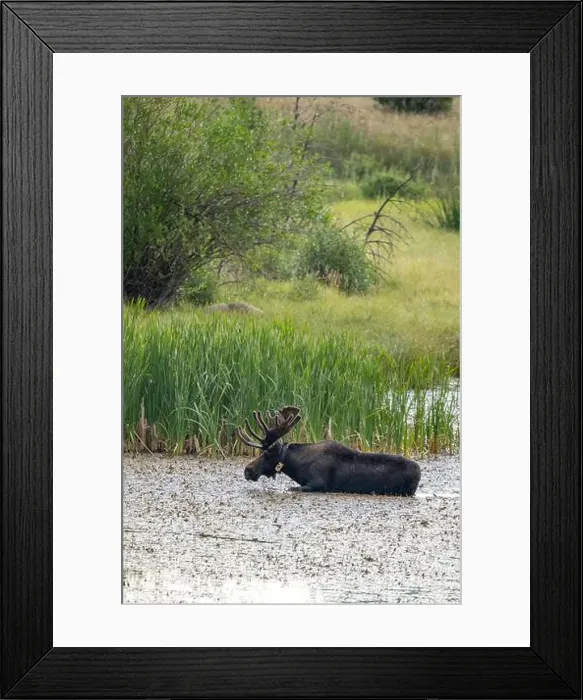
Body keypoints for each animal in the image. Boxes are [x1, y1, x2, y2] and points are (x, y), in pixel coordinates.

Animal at [236, 406, 421, 496]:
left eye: (267, 453)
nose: (247, 470)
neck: (296, 466)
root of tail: (419, 471)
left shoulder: (317, 484)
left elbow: (291, 488)